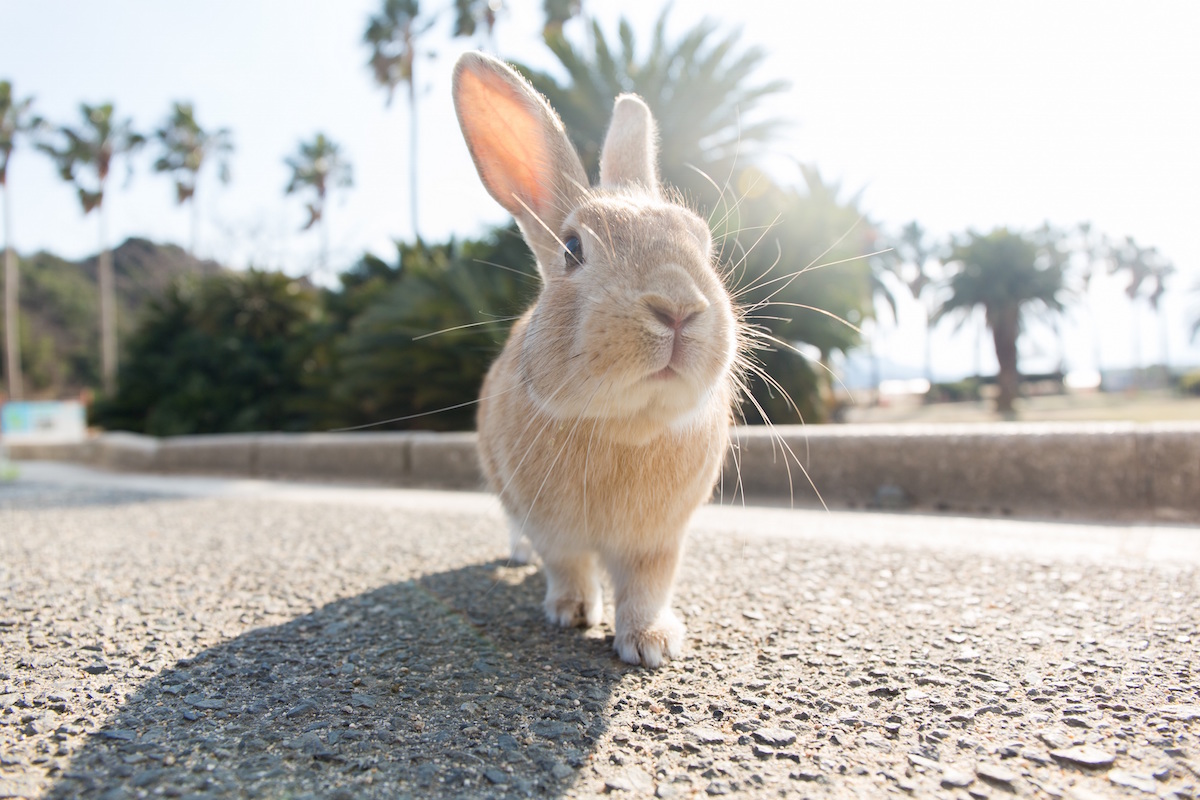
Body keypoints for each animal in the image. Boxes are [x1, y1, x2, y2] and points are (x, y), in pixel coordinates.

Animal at [453, 51, 734, 671]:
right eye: (573, 249)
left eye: (702, 243)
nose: (678, 307)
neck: (626, 425)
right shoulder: (552, 528)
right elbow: (567, 566)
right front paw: (572, 613)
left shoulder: (658, 541)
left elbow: (647, 588)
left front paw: (651, 644)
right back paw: (517, 560)